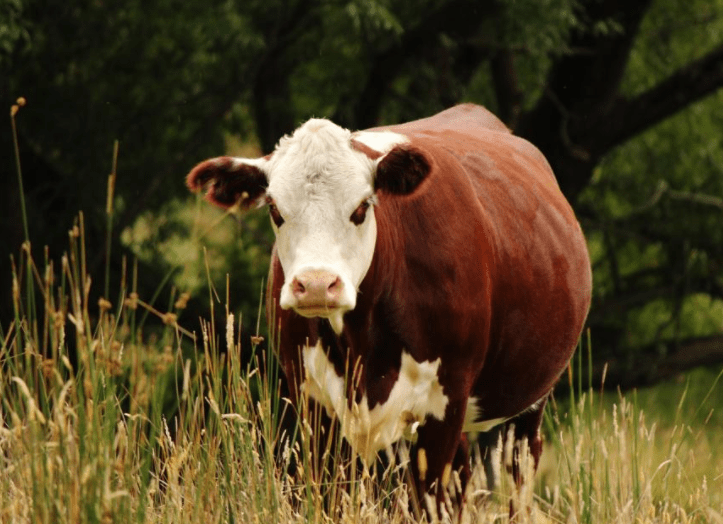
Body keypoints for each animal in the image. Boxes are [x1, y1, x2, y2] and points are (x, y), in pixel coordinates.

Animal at [187, 102, 592, 512]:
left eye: (362, 207)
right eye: (274, 209)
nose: (316, 284)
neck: (359, 344)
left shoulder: (446, 400)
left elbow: (429, 499)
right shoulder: (311, 403)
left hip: (528, 405)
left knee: (517, 474)